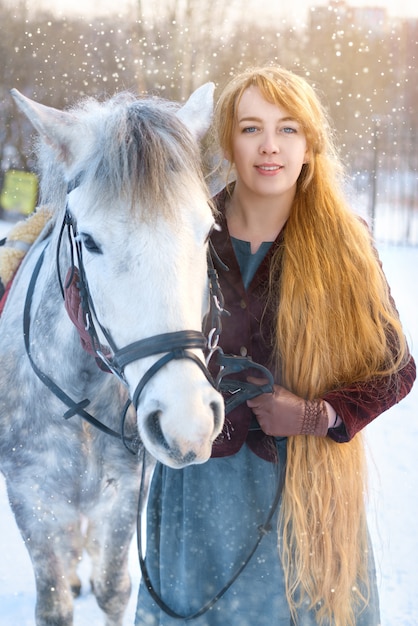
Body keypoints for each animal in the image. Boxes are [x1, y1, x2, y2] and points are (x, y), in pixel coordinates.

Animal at [0, 84, 225, 624]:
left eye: (208, 232)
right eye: (89, 241)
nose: (187, 421)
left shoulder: (125, 495)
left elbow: (114, 588)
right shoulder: (30, 498)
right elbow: (54, 602)